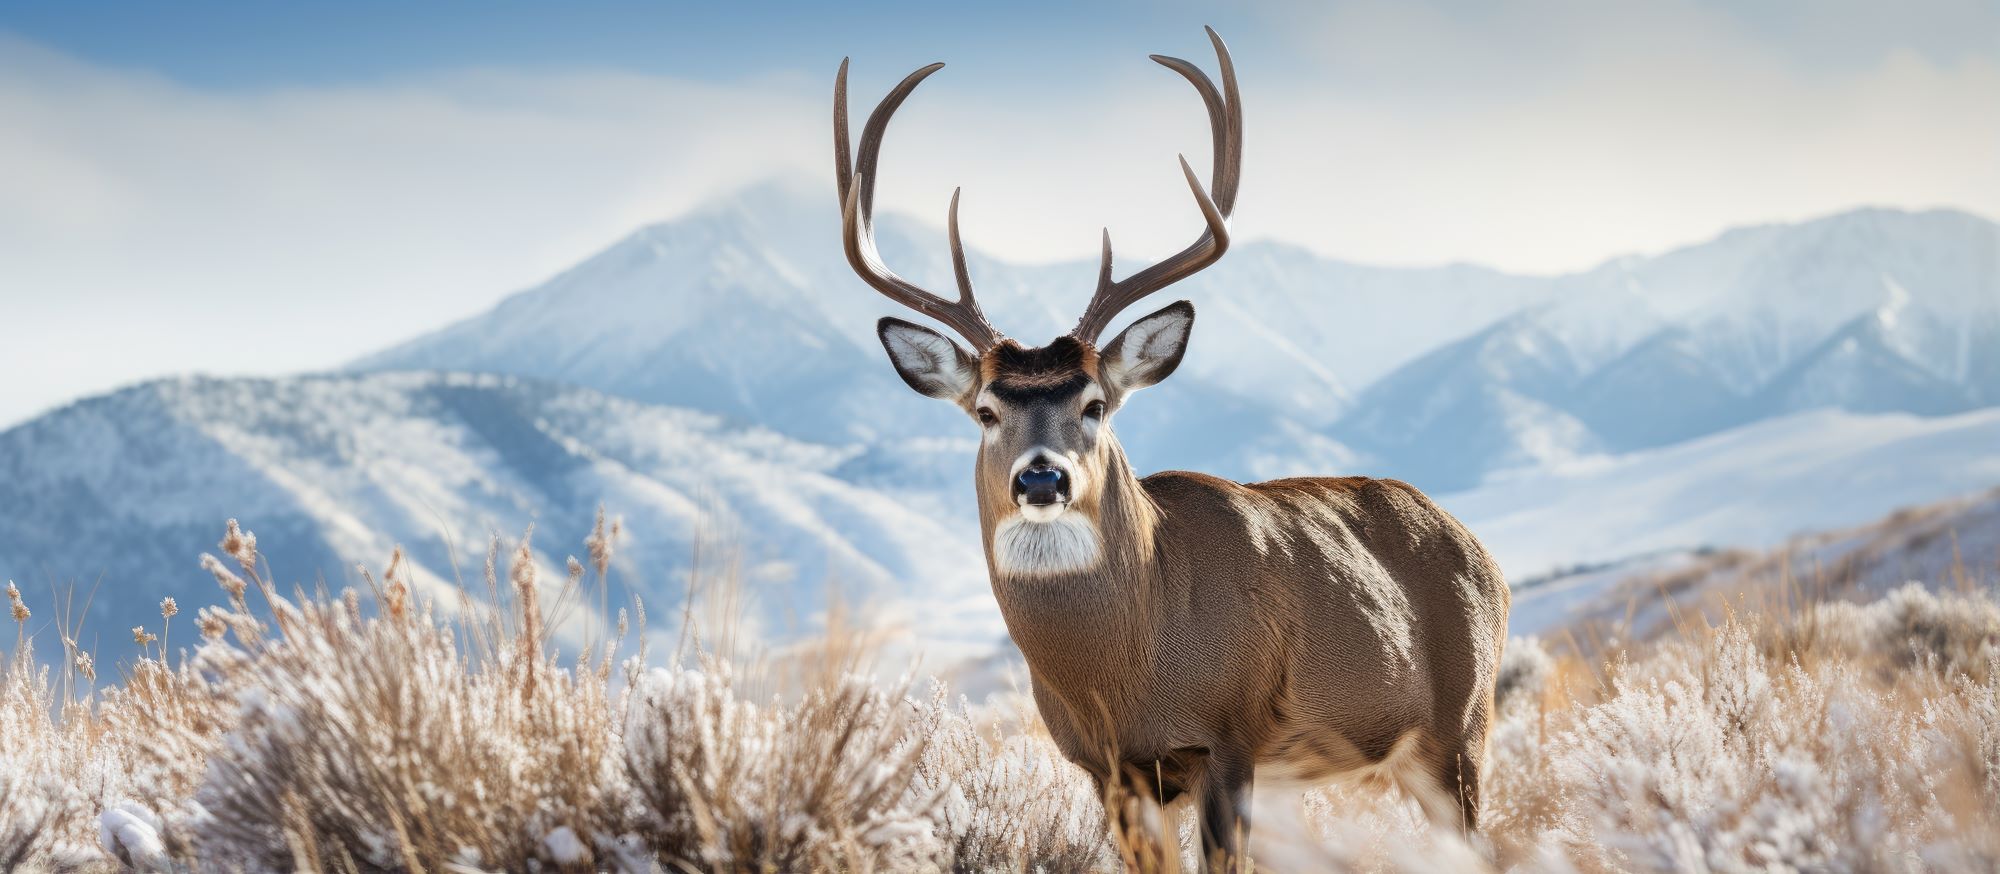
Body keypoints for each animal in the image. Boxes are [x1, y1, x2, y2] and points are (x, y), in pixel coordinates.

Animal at [836, 27, 1504, 864]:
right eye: (986, 410)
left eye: (1094, 403)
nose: (1042, 480)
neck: (1126, 668)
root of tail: (1479, 551)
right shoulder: (1108, 768)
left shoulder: (1230, 735)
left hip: (1463, 730)